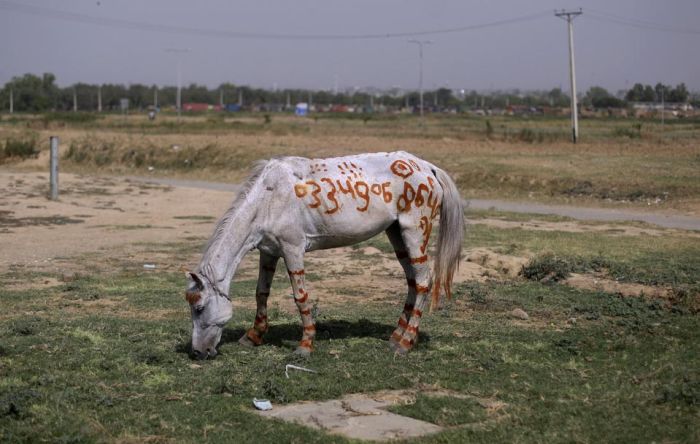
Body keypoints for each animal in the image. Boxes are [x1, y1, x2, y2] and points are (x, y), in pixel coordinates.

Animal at [185, 151, 464, 360]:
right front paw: (254, 336)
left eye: (199, 308)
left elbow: (300, 297)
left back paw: (405, 343)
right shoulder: (269, 252)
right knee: (412, 282)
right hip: (396, 234)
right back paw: (396, 335)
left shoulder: (292, 249)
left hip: (414, 232)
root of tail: (428, 167)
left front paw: (305, 345)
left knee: (423, 282)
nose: (198, 352)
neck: (269, 197)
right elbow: (261, 293)